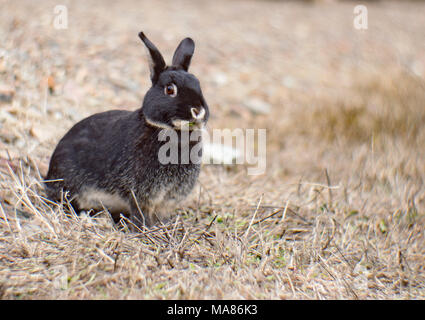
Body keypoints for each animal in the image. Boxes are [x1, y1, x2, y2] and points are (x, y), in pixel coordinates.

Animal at [44, 31, 209, 228]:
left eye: (198, 84)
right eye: (170, 89)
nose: (198, 111)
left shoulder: (168, 199)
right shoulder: (140, 194)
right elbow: (140, 212)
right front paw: (143, 230)